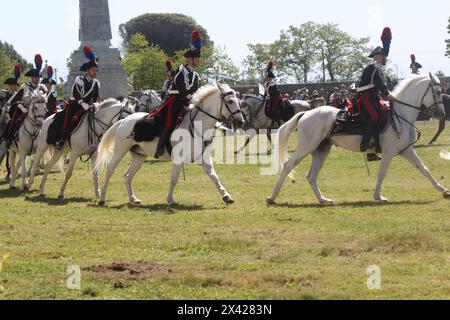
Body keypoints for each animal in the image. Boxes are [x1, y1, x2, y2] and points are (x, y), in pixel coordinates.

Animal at [94, 84, 246, 206]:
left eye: (238, 101)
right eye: (230, 101)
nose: (241, 122)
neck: (197, 125)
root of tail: (124, 120)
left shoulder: (203, 158)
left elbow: (214, 176)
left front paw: (226, 196)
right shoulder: (179, 159)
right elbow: (174, 179)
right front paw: (170, 200)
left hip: (139, 157)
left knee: (128, 176)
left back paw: (133, 199)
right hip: (119, 152)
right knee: (109, 171)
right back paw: (102, 198)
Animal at [268, 74, 450, 205]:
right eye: (438, 92)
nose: (442, 113)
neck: (400, 113)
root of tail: (305, 113)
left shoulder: (406, 150)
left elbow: (424, 169)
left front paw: (443, 190)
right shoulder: (389, 152)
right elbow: (382, 173)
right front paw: (378, 196)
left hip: (321, 151)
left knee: (311, 176)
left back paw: (323, 199)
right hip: (306, 147)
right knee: (288, 166)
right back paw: (272, 198)